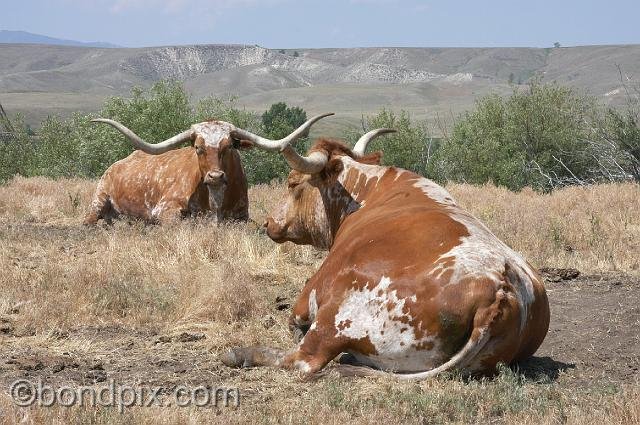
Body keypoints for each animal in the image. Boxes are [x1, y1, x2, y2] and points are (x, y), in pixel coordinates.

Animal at [83, 114, 332, 225]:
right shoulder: (164, 209)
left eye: (229, 146)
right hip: (98, 200)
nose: (215, 176)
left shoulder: (242, 215)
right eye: (198, 147)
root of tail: (116, 164)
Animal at [220, 129, 550, 379]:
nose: (269, 224)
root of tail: (500, 288)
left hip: (337, 317)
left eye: (292, 183)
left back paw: (241, 353)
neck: (365, 194)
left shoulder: (311, 293)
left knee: (304, 359)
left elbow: (294, 321)